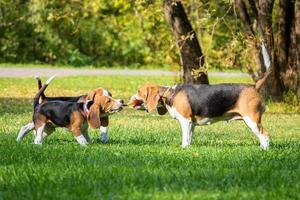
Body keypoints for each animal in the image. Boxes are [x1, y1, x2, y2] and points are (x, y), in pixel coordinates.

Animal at [130, 71, 270, 149]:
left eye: (139, 91)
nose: (130, 98)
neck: (170, 93)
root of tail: (254, 87)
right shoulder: (191, 124)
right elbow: (189, 137)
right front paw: (188, 147)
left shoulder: (185, 121)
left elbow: (184, 137)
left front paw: (183, 148)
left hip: (252, 120)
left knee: (265, 135)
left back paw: (263, 149)